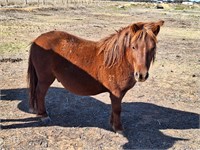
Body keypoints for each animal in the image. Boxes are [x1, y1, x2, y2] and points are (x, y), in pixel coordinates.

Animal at [27, 19, 164, 132]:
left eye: (153, 48)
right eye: (133, 47)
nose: (141, 75)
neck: (118, 60)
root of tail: (36, 40)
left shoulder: (117, 94)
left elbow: (114, 109)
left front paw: (112, 124)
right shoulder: (116, 93)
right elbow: (117, 109)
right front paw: (118, 128)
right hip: (45, 79)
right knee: (40, 93)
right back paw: (43, 115)